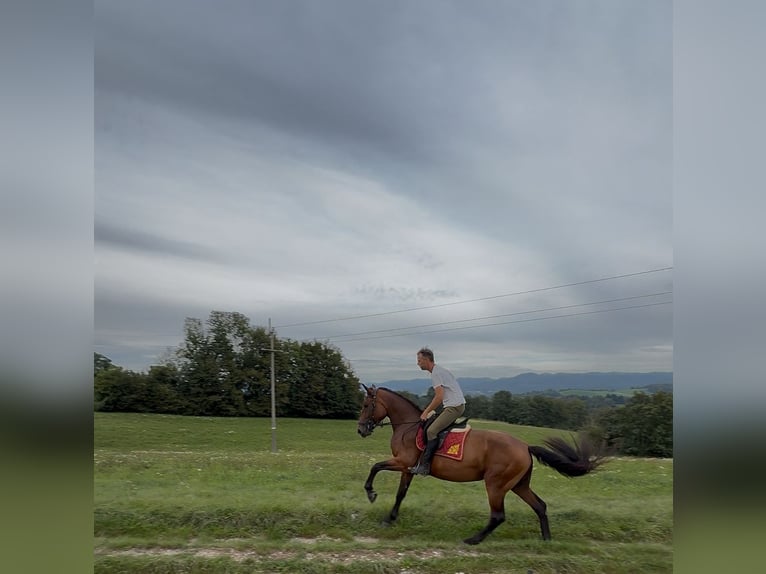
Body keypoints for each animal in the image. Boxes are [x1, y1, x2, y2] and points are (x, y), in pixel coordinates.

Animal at [356, 384, 605, 545]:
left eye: (367, 404)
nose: (360, 430)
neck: (407, 427)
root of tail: (525, 446)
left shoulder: (402, 462)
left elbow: (375, 467)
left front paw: (370, 493)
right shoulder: (407, 468)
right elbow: (400, 493)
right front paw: (389, 519)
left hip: (496, 484)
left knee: (498, 516)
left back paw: (473, 539)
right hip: (519, 485)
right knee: (540, 506)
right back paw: (546, 540)